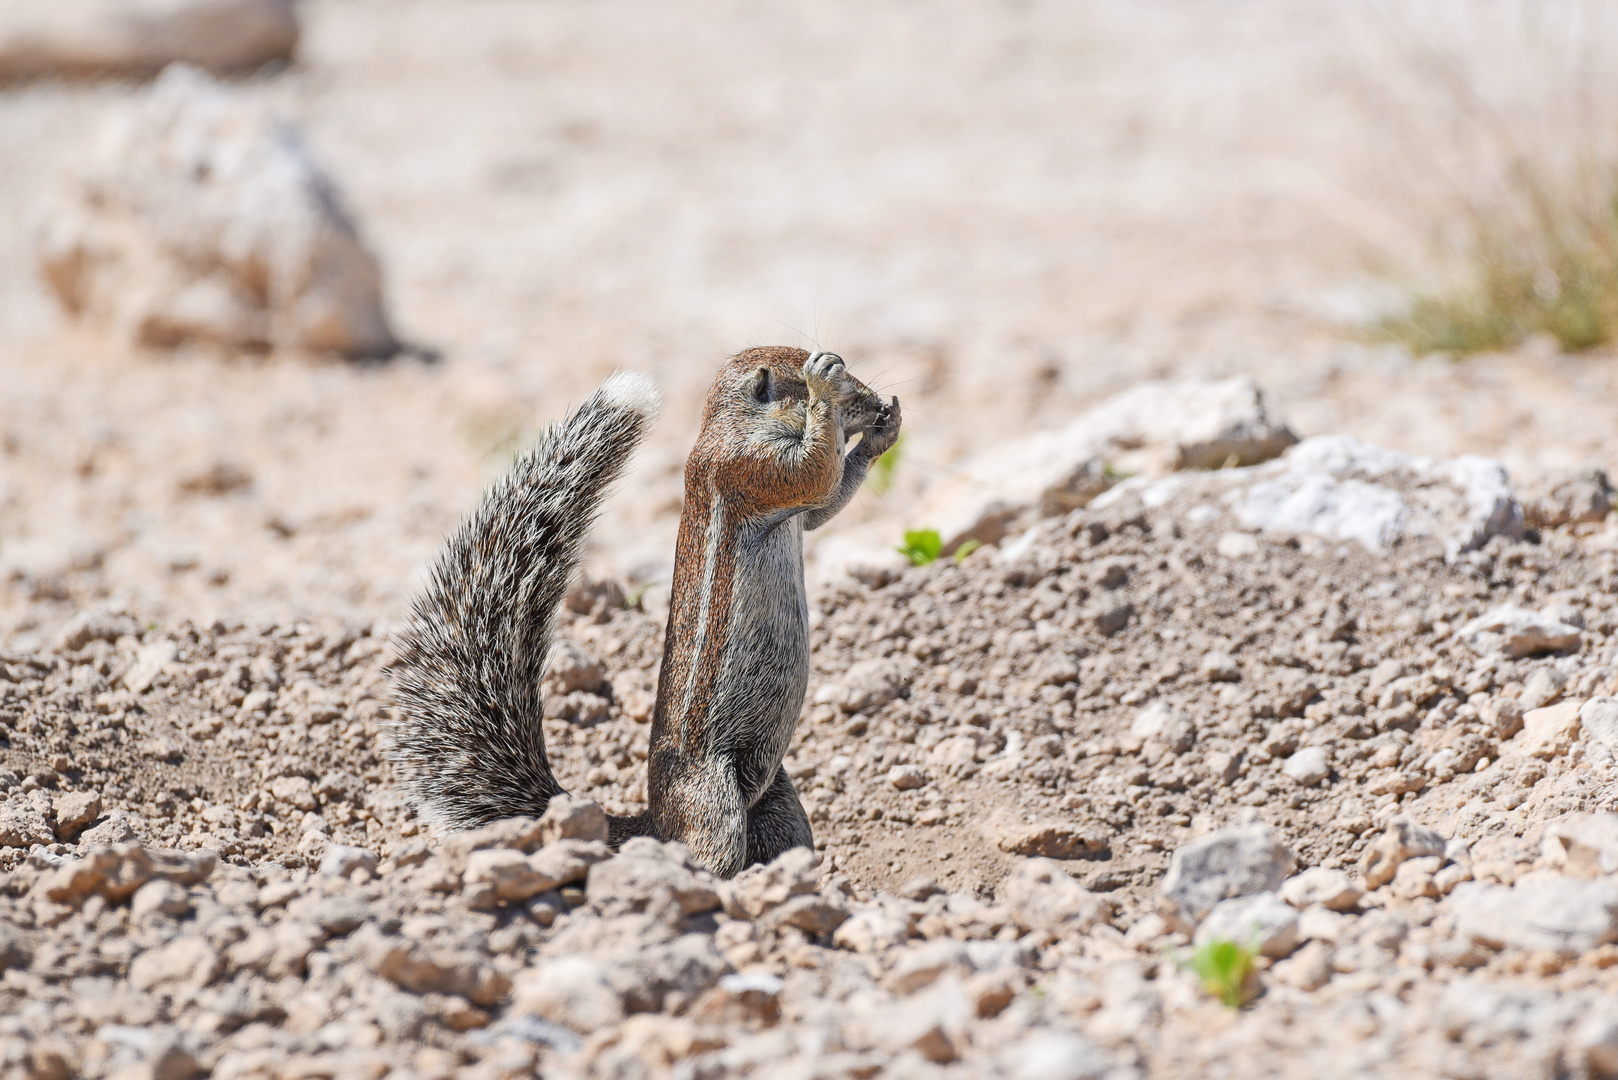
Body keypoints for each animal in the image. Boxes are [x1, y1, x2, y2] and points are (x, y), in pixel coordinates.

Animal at [386, 346, 906, 880]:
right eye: (830, 376)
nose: (873, 404)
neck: (729, 425)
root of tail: (654, 824)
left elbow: (824, 503)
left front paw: (884, 433)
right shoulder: (752, 466)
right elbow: (814, 473)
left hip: (777, 798)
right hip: (714, 800)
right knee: (710, 854)